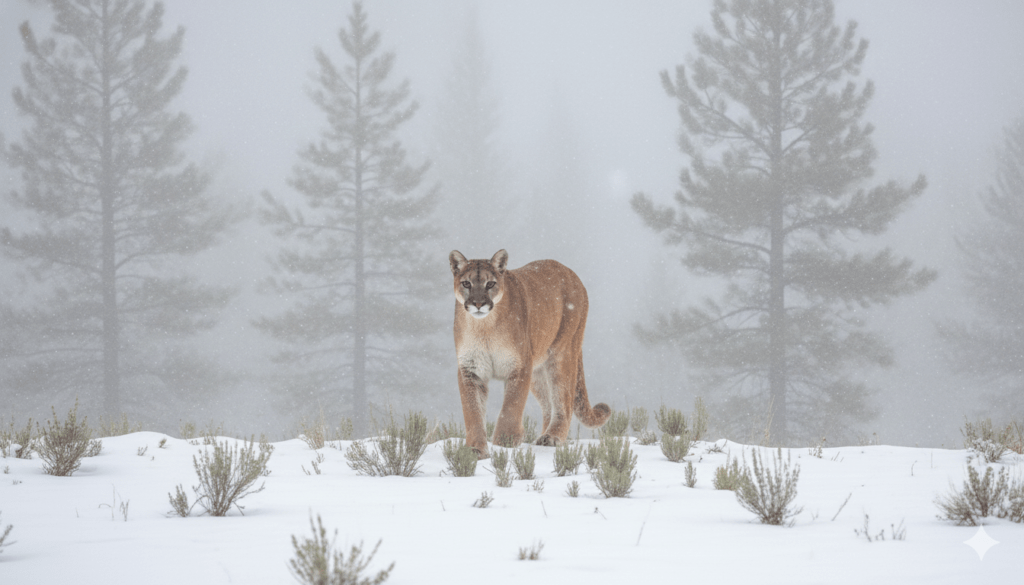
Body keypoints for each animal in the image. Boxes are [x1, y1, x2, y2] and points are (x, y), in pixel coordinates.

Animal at [449, 249, 611, 459]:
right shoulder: (470, 369)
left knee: (564, 401)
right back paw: (543, 436)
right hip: (537, 370)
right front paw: (475, 450)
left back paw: (552, 437)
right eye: (466, 284)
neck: (484, 327)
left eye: (490, 284)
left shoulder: (519, 366)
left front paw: (506, 441)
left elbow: (511, 405)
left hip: (562, 353)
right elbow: (472, 411)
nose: (478, 303)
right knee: (548, 404)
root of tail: (570, 272)